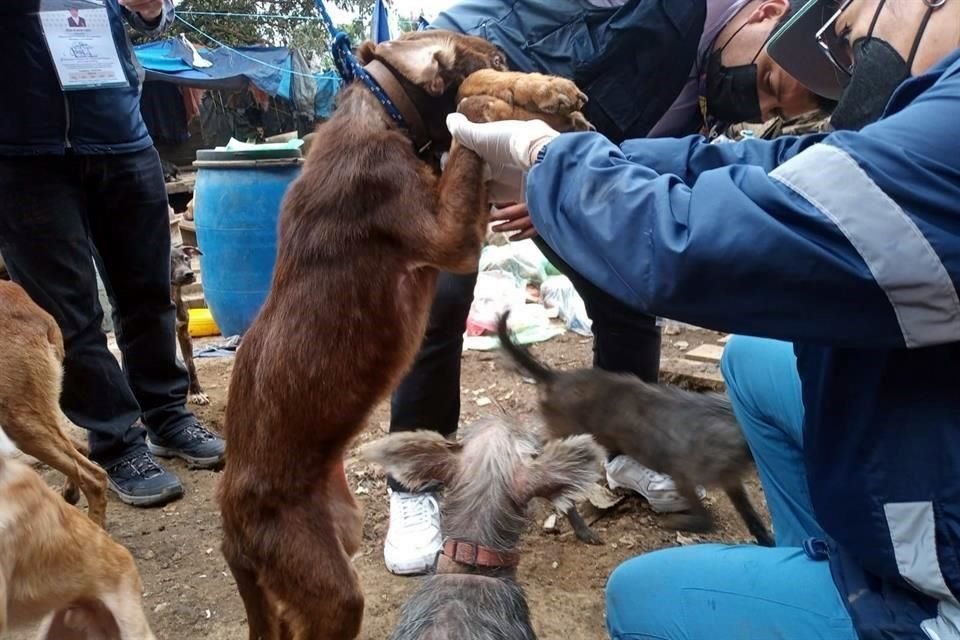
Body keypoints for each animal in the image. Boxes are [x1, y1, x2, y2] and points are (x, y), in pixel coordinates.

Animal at [496, 310, 772, 544]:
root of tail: (555, 378)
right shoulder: (684, 475)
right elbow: (707, 519)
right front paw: (678, 523)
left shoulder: (732, 482)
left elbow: (752, 518)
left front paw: (768, 542)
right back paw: (581, 528)